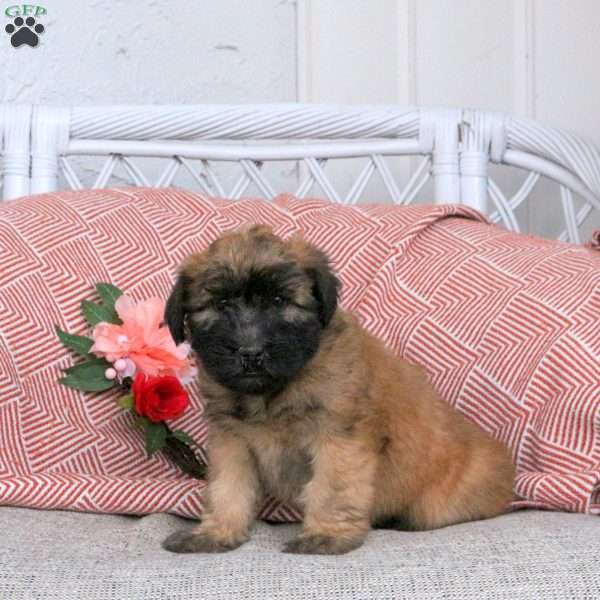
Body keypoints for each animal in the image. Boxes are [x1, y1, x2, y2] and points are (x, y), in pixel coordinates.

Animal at [164, 227, 516, 556]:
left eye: (279, 301)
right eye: (221, 304)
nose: (251, 354)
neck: (271, 392)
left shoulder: (338, 436)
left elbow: (332, 487)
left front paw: (326, 535)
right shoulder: (232, 441)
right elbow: (227, 488)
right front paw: (215, 533)